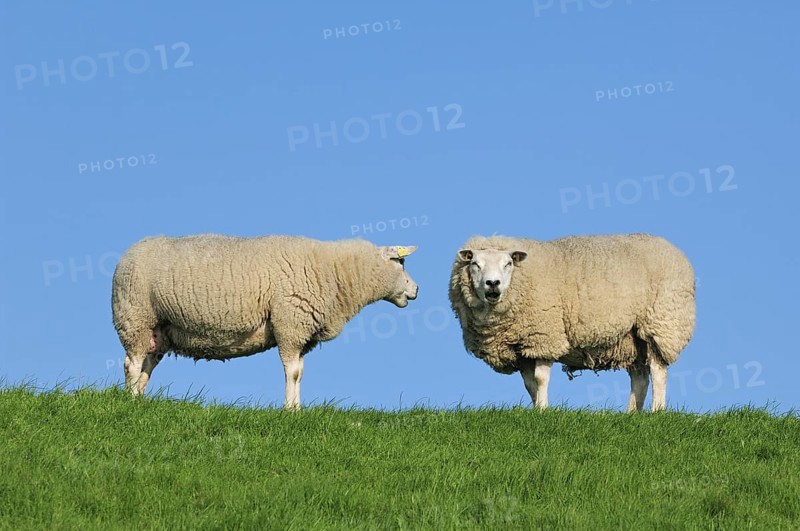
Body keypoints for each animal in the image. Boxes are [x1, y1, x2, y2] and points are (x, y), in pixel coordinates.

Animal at [112, 234, 419, 409]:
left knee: (146, 365)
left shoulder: (300, 334)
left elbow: (300, 373)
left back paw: (139, 398)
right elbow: (292, 373)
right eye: (399, 263)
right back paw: (129, 402)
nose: (417, 289)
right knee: (132, 363)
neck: (335, 273)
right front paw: (289, 410)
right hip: (134, 316)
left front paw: (297, 408)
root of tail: (127, 254)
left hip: (159, 329)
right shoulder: (290, 325)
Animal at [448, 233, 695, 412]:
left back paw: (657, 411)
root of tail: (675, 250)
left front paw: (543, 411)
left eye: (508, 263)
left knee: (658, 371)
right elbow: (529, 384)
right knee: (640, 377)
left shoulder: (545, 336)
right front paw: (535, 408)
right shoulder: (523, 347)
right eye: (475, 264)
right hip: (631, 338)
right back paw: (632, 414)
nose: (493, 284)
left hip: (661, 324)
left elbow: (540, 379)